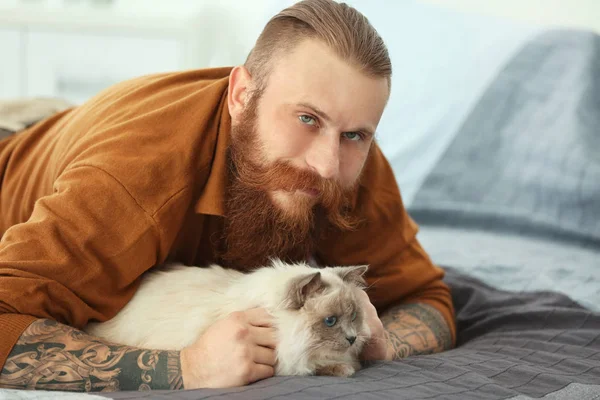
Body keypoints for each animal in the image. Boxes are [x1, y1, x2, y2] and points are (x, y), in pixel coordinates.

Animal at [85, 260, 370, 378]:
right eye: (330, 321)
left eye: (354, 316)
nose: (352, 338)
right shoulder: (287, 359)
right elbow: (311, 366)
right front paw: (346, 369)